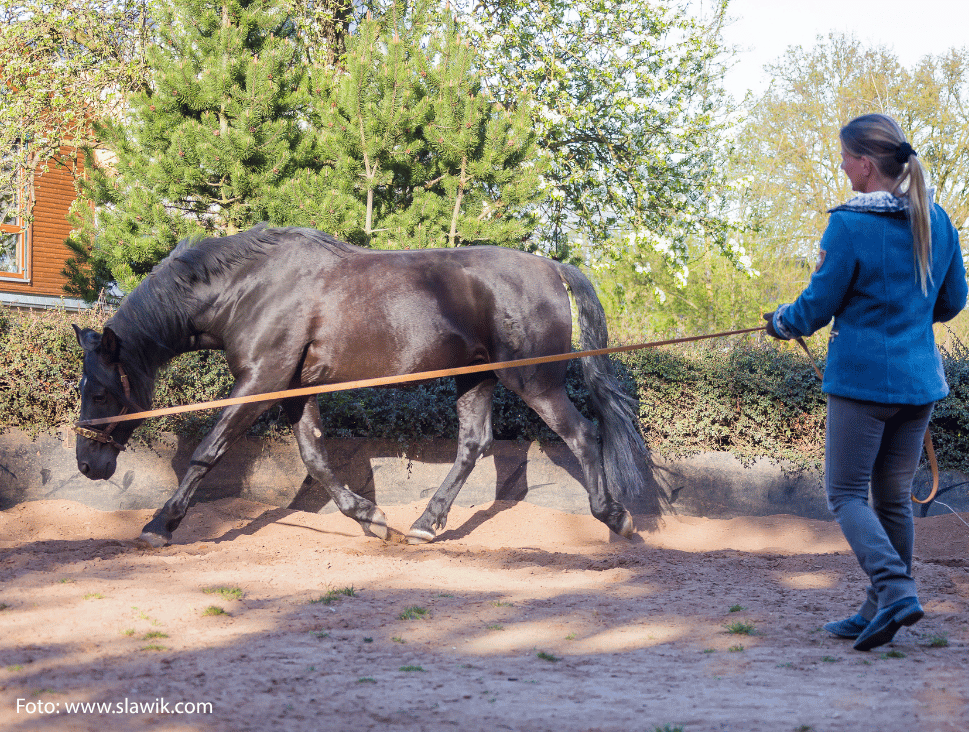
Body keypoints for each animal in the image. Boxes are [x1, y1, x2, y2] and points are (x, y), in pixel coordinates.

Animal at [73, 224, 662, 547]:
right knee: (474, 444)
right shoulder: (294, 390)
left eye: (99, 392)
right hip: (475, 378)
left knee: (583, 435)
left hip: (533, 380)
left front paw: (160, 524)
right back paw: (424, 524)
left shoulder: (261, 380)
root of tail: (552, 267)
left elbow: (209, 452)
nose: (87, 465)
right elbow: (315, 458)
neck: (250, 288)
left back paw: (616, 518)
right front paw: (371, 520)